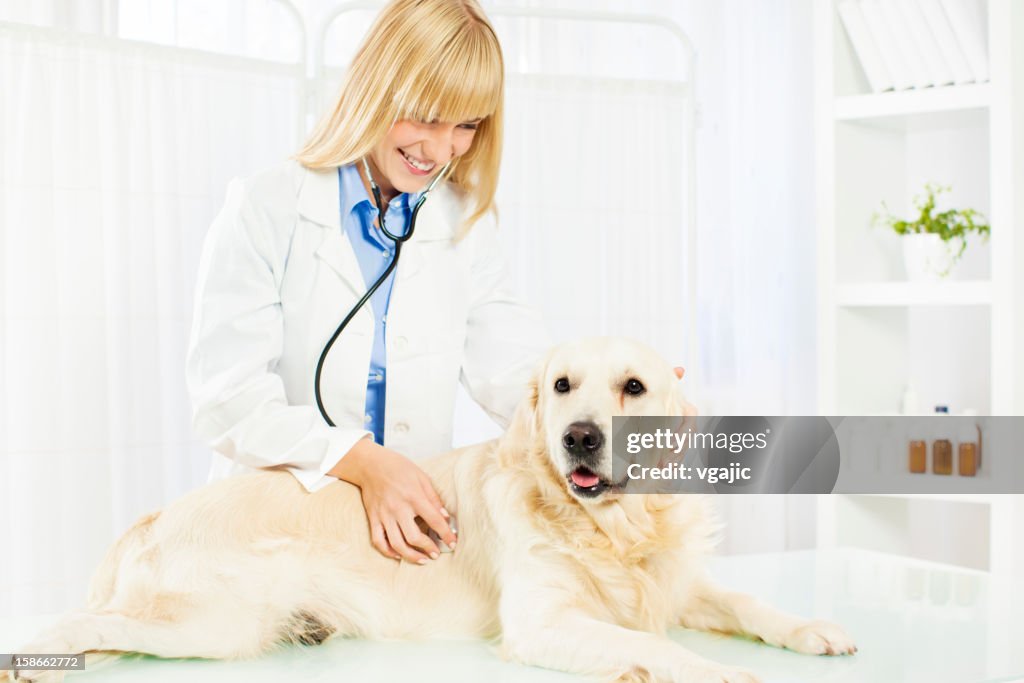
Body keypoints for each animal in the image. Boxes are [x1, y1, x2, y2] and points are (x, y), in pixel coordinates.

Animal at [9, 337, 856, 683]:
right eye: (561, 384)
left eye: (635, 387)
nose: (578, 437)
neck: (605, 528)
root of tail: (155, 514)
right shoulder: (542, 622)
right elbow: (657, 646)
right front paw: (715, 670)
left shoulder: (676, 582)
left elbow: (747, 600)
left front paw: (814, 628)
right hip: (211, 623)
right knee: (81, 622)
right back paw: (37, 653)